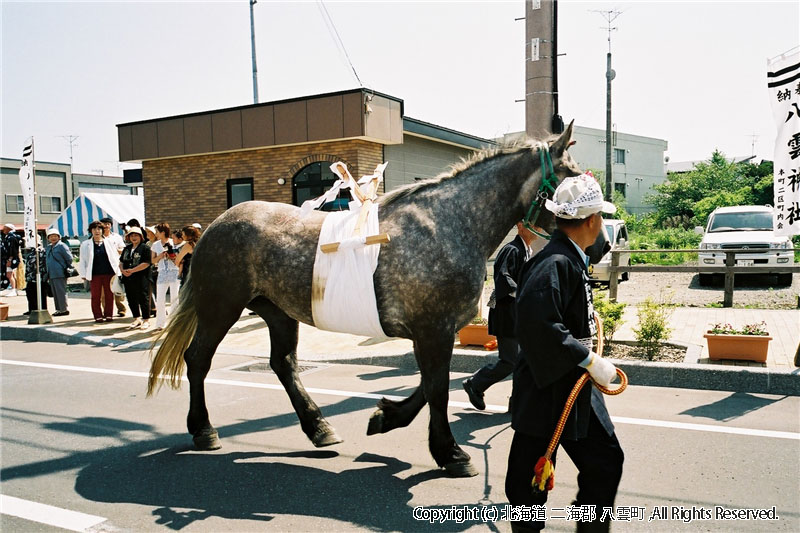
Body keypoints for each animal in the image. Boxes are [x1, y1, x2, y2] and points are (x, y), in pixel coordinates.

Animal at [148, 122, 600, 476]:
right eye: (573, 179)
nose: (595, 247)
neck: (450, 225)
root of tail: (214, 226)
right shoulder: (432, 329)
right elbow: (436, 388)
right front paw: (450, 452)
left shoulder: (434, 332)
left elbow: (428, 386)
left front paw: (388, 417)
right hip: (221, 306)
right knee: (198, 359)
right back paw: (203, 429)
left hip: (277, 311)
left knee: (283, 364)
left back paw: (319, 428)